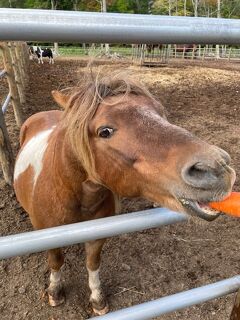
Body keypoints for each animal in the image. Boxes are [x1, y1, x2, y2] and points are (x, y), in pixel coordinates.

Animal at [13, 70, 234, 316]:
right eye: (105, 131)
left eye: (161, 112)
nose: (217, 167)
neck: (67, 192)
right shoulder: (47, 237)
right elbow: (56, 262)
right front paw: (54, 292)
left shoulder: (97, 236)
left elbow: (92, 264)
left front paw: (97, 299)